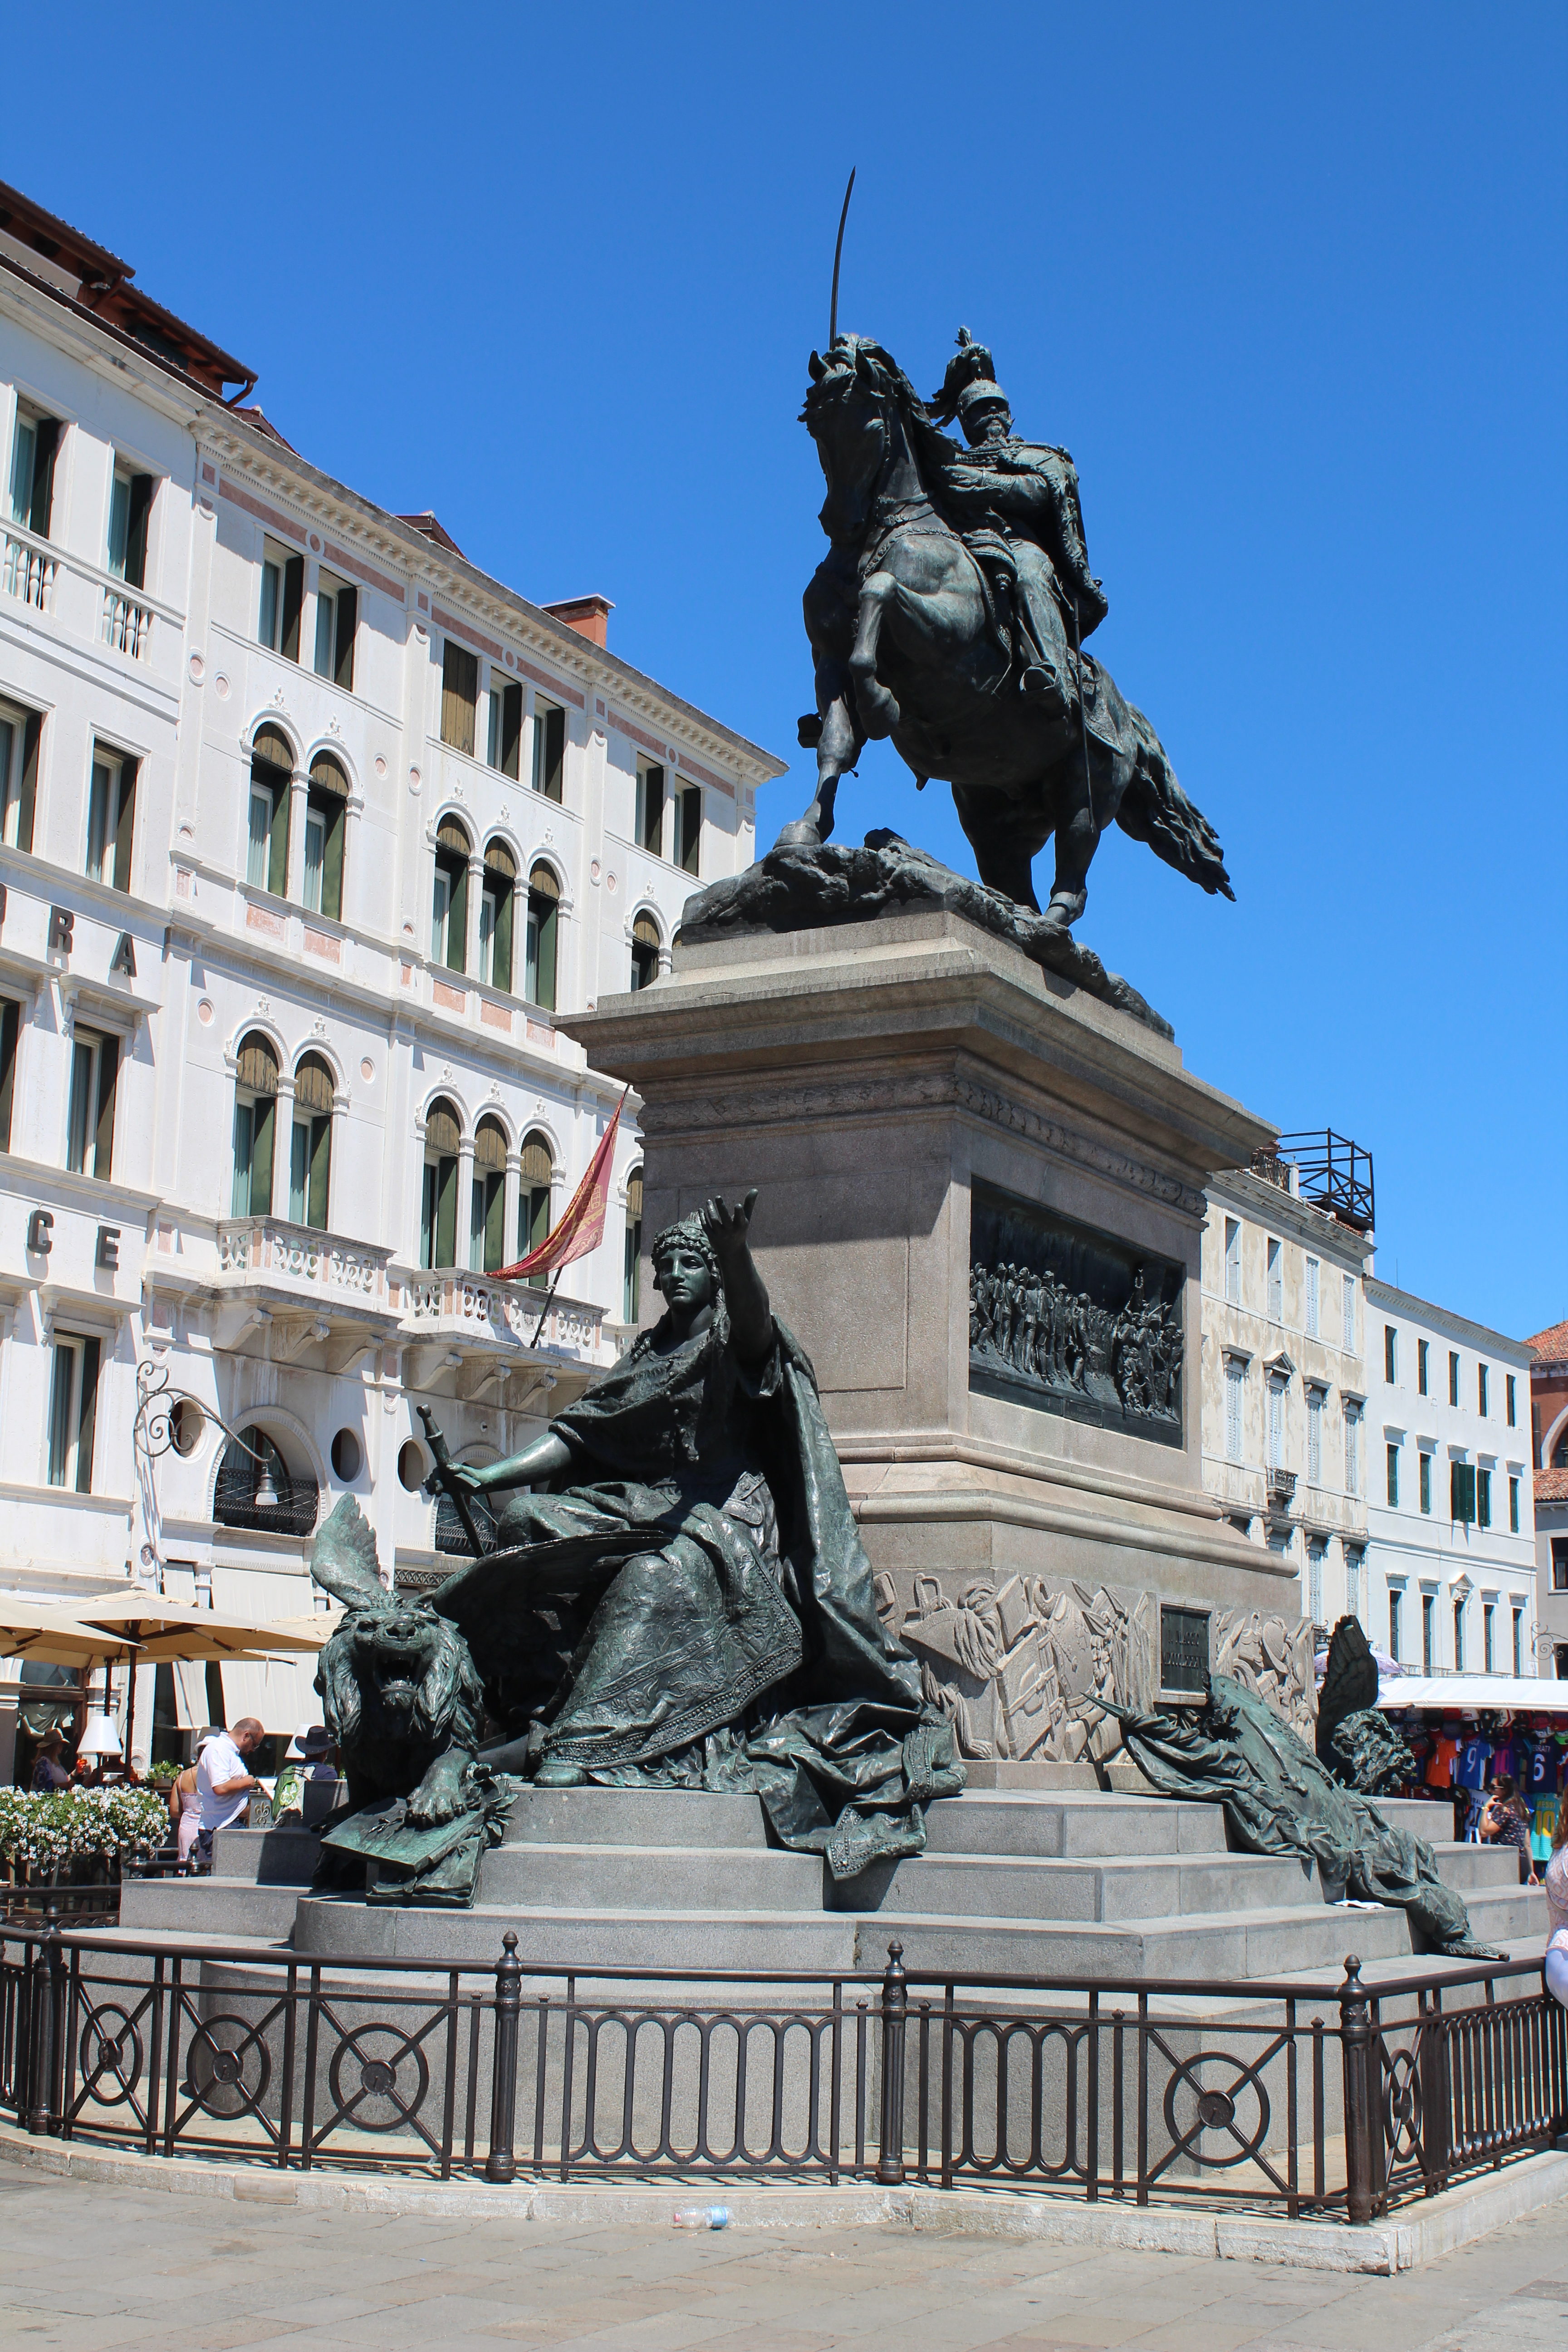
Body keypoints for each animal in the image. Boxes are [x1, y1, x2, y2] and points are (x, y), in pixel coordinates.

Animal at [780, 341, 1222, 926]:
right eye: (814, 425)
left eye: (870, 423)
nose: (841, 522)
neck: (878, 539)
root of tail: (1129, 715)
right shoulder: (826, 658)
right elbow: (835, 742)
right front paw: (806, 830)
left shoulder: (950, 637)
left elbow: (881, 592)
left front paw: (881, 705)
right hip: (993, 815)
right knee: (1011, 879)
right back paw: (1008, 912)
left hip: (1088, 785)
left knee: (1076, 861)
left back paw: (1048, 924)